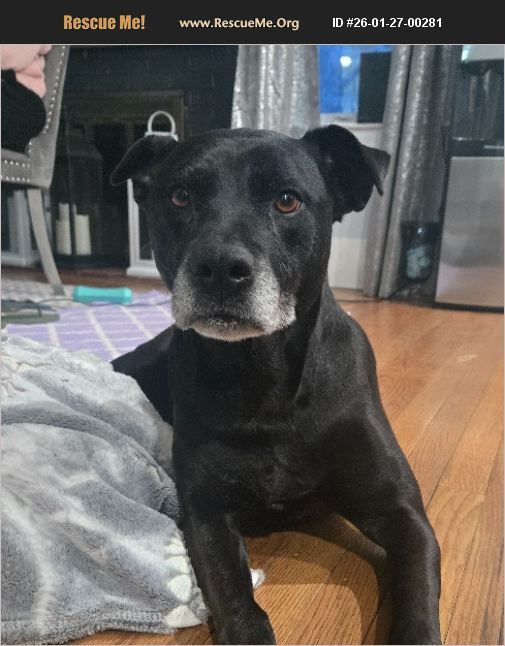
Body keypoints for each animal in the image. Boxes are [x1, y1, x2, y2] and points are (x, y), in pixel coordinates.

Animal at [110, 125, 441, 645]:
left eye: (288, 200)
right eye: (180, 196)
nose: (219, 268)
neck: (261, 374)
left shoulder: (404, 515)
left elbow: (417, 602)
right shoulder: (206, 512)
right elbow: (235, 599)